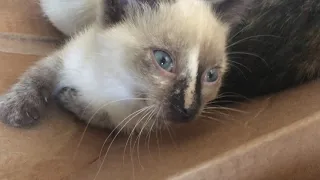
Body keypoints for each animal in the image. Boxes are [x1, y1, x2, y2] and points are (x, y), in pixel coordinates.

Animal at [0, 0, 240, 132]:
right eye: (163, 60)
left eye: (211, 76)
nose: (188, 111)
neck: (122, 83)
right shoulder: (67, 59)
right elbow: (40, 74)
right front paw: (16, 108)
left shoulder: (133, 122)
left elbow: (100, 116)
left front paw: (69, 98)